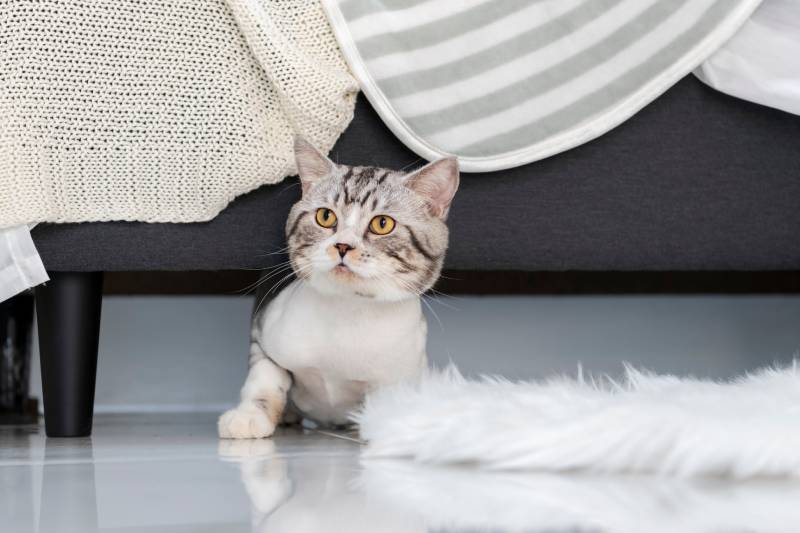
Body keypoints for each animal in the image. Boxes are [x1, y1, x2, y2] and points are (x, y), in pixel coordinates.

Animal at [219, 136, 460, 436]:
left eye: (383, 223)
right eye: (325, 217)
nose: (343, 245)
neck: (348, 311)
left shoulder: (397, 377)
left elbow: (384, 405)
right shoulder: (263, 334)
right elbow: (264, 379)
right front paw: (250, 415)